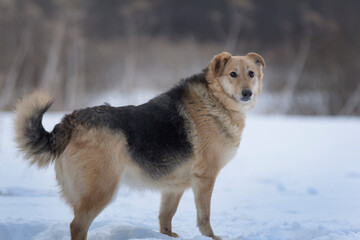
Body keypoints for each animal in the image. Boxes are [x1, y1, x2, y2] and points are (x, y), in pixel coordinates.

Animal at [14, 52, 264, 240]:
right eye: (233, 74)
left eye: (251, 74)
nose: (247, 93)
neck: (215, 99)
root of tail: (71, 120)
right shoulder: (205, 178)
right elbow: (205, 217)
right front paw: (211, 237)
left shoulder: (174, 187)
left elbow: (165, 220)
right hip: (101, 191)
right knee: (76, 226)